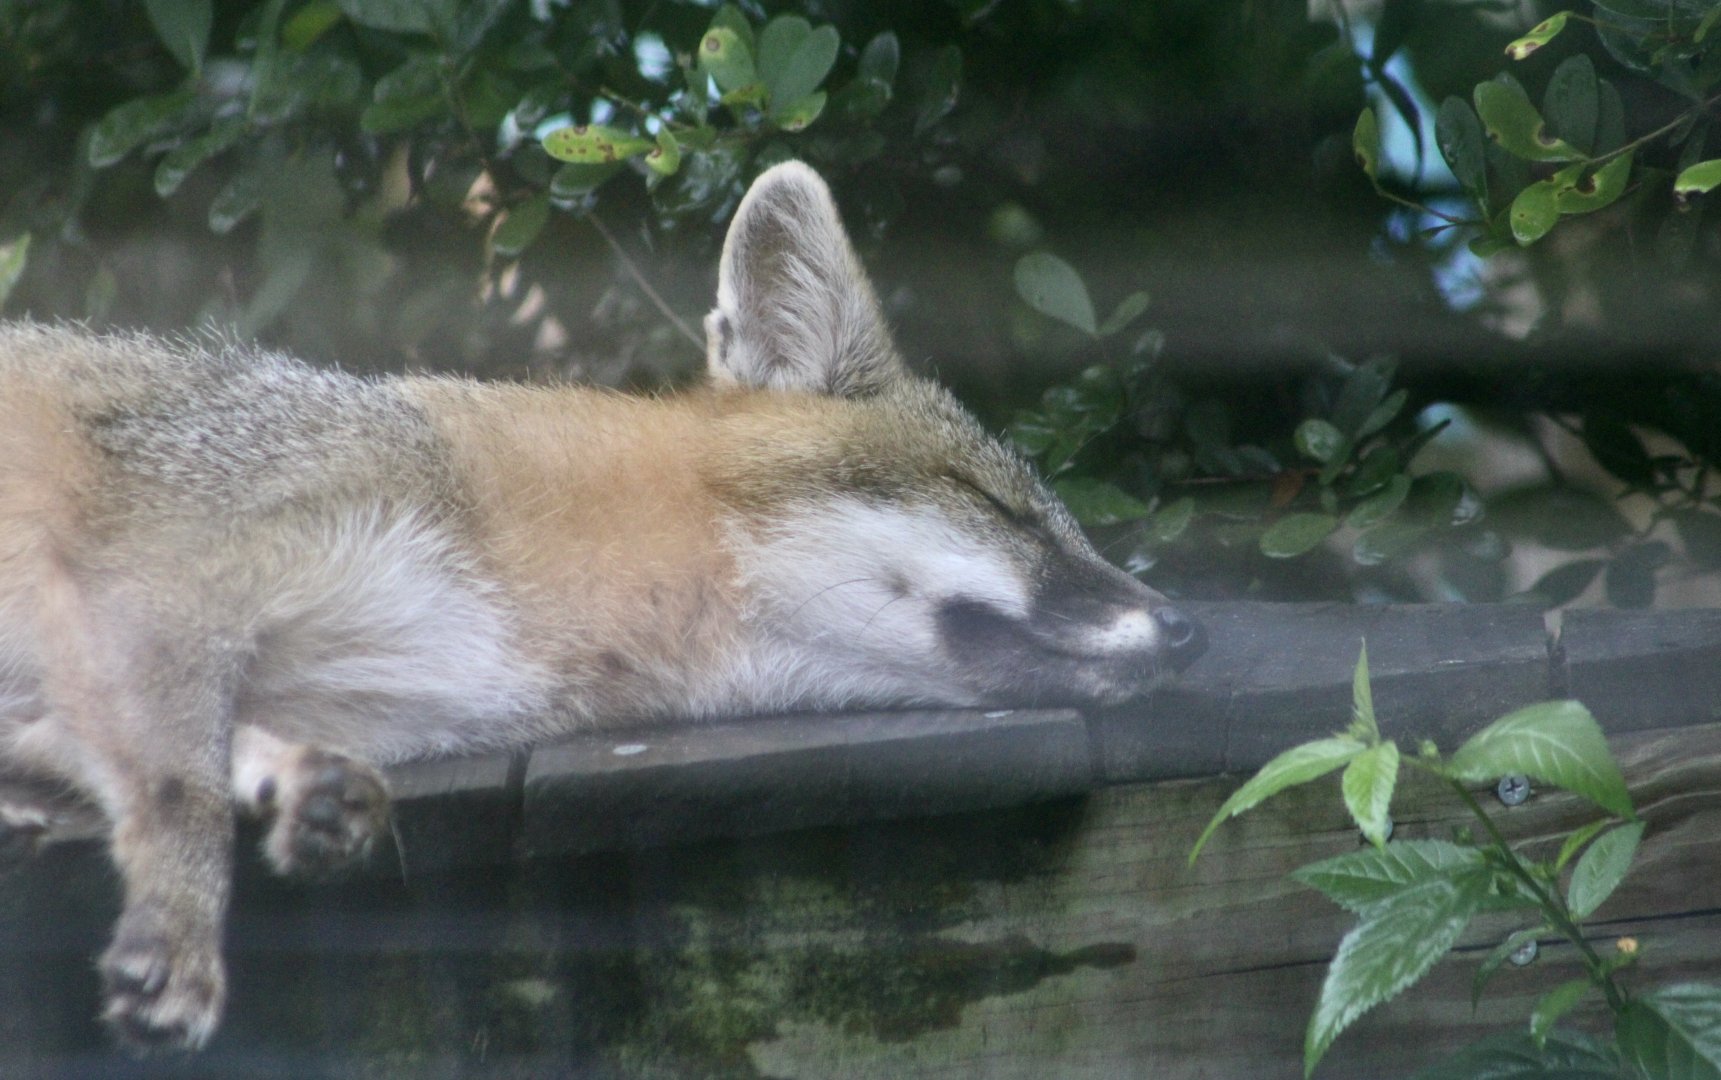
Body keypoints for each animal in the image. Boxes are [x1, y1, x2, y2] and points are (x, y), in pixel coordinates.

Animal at [0, 161, 1203, 1051]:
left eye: (1065, 525)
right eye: (1000, 508)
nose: (1191, 628)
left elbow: (164, 749)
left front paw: (297, 785)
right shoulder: (160, 567)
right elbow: (178, 783)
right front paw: (178, 922)